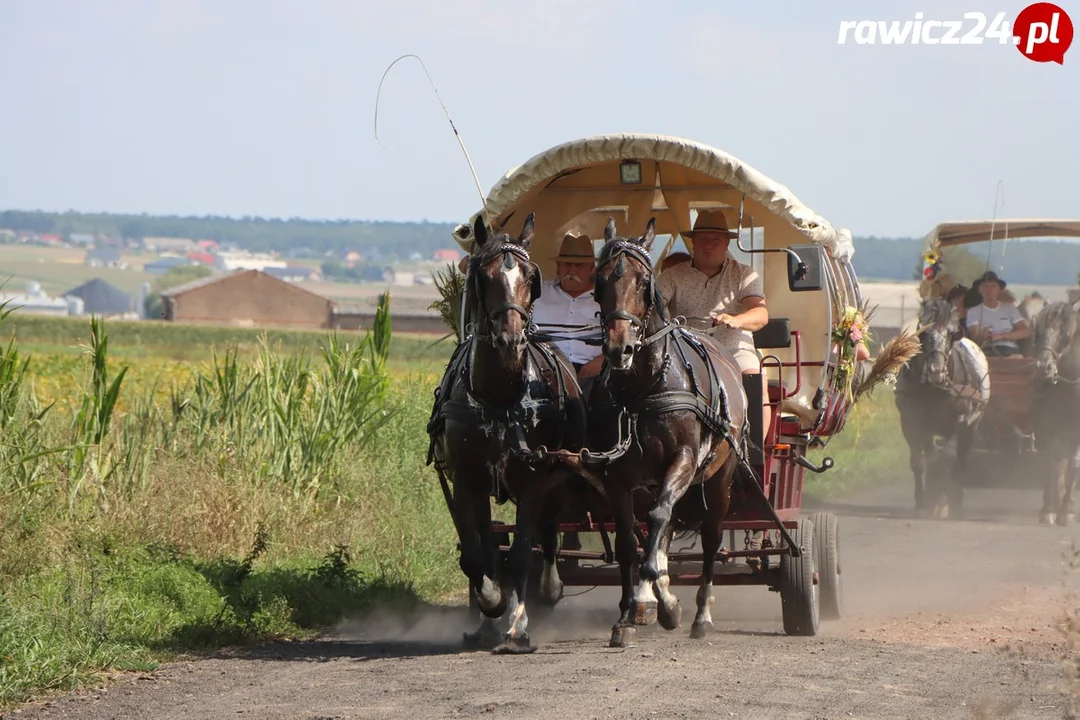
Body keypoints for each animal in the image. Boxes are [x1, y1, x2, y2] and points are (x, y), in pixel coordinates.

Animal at [423, 212, 591, 651]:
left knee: (545, 537)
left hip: (554, 476)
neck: (499, 398)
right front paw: (491, 606)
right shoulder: (466, 480)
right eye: (484, 275)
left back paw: (549, 589)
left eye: (531, 277)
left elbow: (520, 554)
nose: (511, 339)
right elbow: (477, 555)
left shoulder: (533, 478)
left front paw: (517, 626)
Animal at [587, 215, 747, 647]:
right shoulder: (617, 476)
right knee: (664, 529)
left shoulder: (684, 460)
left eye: (645, 281)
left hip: (718, 479)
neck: (643, 389)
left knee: (708, 537)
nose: (619, 348)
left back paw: (700, 615)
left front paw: (669, 606)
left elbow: (658, 519)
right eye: (600, 281)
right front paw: (627, 614)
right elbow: (630, 540)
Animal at [894, 297, 989, 518]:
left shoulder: (962, 420)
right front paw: (923, 501)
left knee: (960, 459)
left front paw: (945, 500)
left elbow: (947, 459)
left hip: (972, 427)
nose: (935, 372)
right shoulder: (910, 421)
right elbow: (919, 462)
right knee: (931, 454)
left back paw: (954, 498)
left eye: (951, 333)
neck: (935, 388)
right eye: (923, 331)